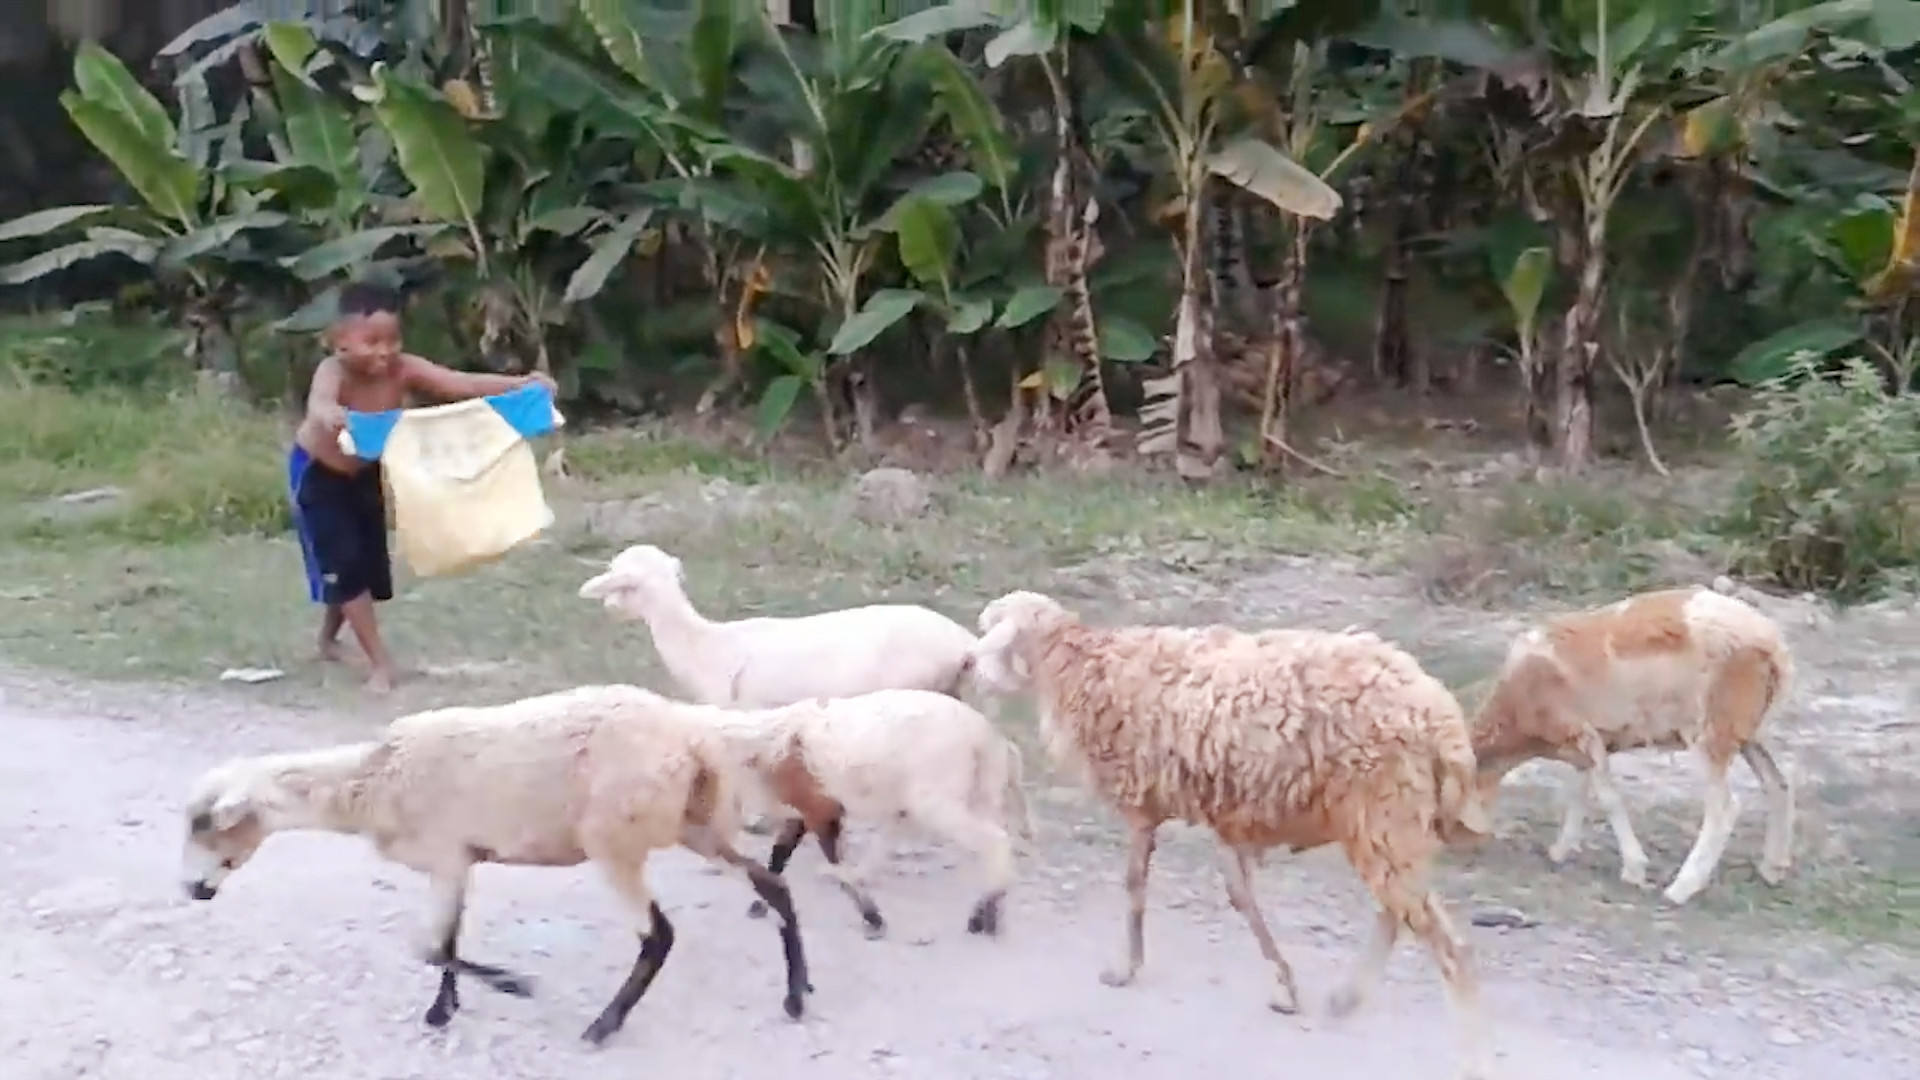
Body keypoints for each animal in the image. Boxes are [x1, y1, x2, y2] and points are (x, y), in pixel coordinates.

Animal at [176, 680, 814, 1045]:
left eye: (205, 824)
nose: (192, 890)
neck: (371, 784)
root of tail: (692, 741)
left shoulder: (443, 856)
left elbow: (429, 946)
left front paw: (512, 984)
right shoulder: (461, 858)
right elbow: (448, 940)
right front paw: (443, 1010)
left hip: (615, 838)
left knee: (658, 936)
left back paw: (602, 1026)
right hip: (692, 822)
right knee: (772, 885)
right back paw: (796, 994)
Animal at [721, 687, 1036, 933]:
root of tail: (990, 739)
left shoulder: (818, 809)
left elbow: (825, 857)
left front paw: (871, 916)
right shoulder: (801, 811)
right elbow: (779, 855)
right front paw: (760, 905)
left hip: (937, 800)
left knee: (994, 840)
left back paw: (982, 916)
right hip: (981, 793)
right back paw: (993, 913)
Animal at [975, 588, 1497, 1076]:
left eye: (990, 634)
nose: (971, 671)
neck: (1081, 668)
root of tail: (1441, 719)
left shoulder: (1142, 804)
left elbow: (1135, 887)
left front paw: (1126, 968)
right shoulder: (1229, 816)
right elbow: (1240, 896)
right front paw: (1285, 984)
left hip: (1385, 815)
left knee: (1450, 947)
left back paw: (1470, 1058)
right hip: (1387, 825)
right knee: (1398, 914)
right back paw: (1346, 997)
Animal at [1466, 584, 1797, 903]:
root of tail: (1773, 644)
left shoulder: (1583, 735)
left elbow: (1608, 798)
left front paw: (1634, 869)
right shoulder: (1588, 744)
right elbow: (1579, 790)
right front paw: (1561, 850)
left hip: (1712, 732)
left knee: (1724, 807)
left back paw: (1681, 889)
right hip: (1748, 733)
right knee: (1778, 785)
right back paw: (1773, 869)